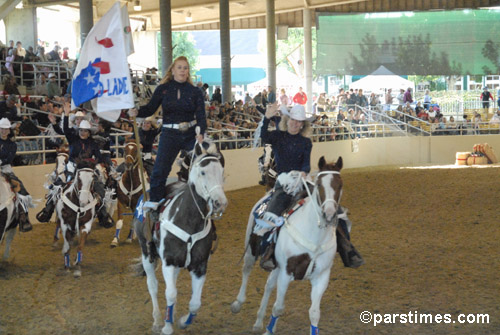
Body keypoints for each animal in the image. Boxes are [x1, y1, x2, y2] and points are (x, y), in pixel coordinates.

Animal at [133, 142, 227, 335]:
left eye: (222, 172)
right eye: (203, 172)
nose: (220, 203)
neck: (188, 220)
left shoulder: (200, 266)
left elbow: (195, 303)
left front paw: (183, 321)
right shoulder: (168, 262)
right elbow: (169, 293)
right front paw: (167, 326)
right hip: (146, 252)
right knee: (153, 285)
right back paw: (157, 320)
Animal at [231, 158, 344, 335]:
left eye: (340, 184)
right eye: (319, 184)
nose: (329, 214)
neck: (315, 238)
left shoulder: (322, 276)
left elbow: (314, 313)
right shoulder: (286, 271)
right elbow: (278, 307)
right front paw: (269, 330)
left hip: (275, 264)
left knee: (269, 285)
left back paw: (258, 322)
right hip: (251, 250)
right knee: (246, 270)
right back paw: (238, 303)